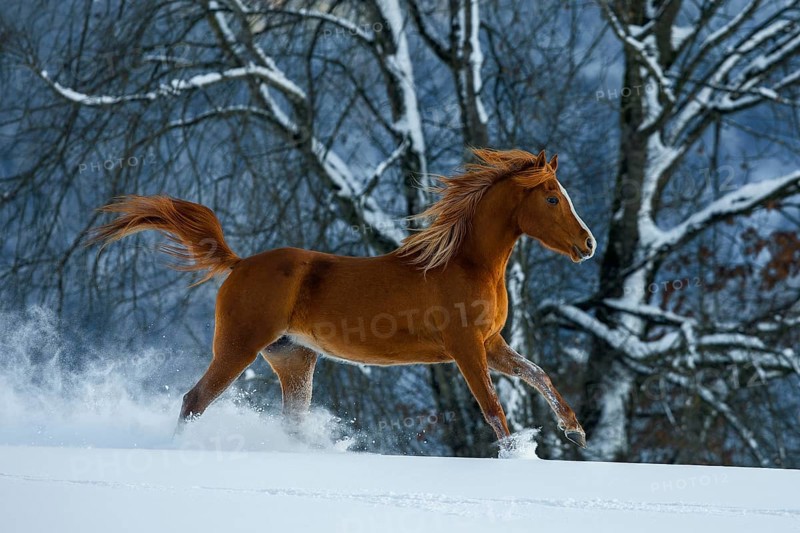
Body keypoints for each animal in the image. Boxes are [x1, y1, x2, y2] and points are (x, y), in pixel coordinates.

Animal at [89, 148, 596, 451]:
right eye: (553, 198)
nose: (588, 245)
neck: (465, 264)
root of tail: (239, 263)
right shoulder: (465, 348)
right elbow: (492, 407)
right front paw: (516, 456)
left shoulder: (491, 344)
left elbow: (538, 374)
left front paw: (574, 430)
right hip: (237, 348)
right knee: (194, 400)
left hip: (294, 360)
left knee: (288, 419)